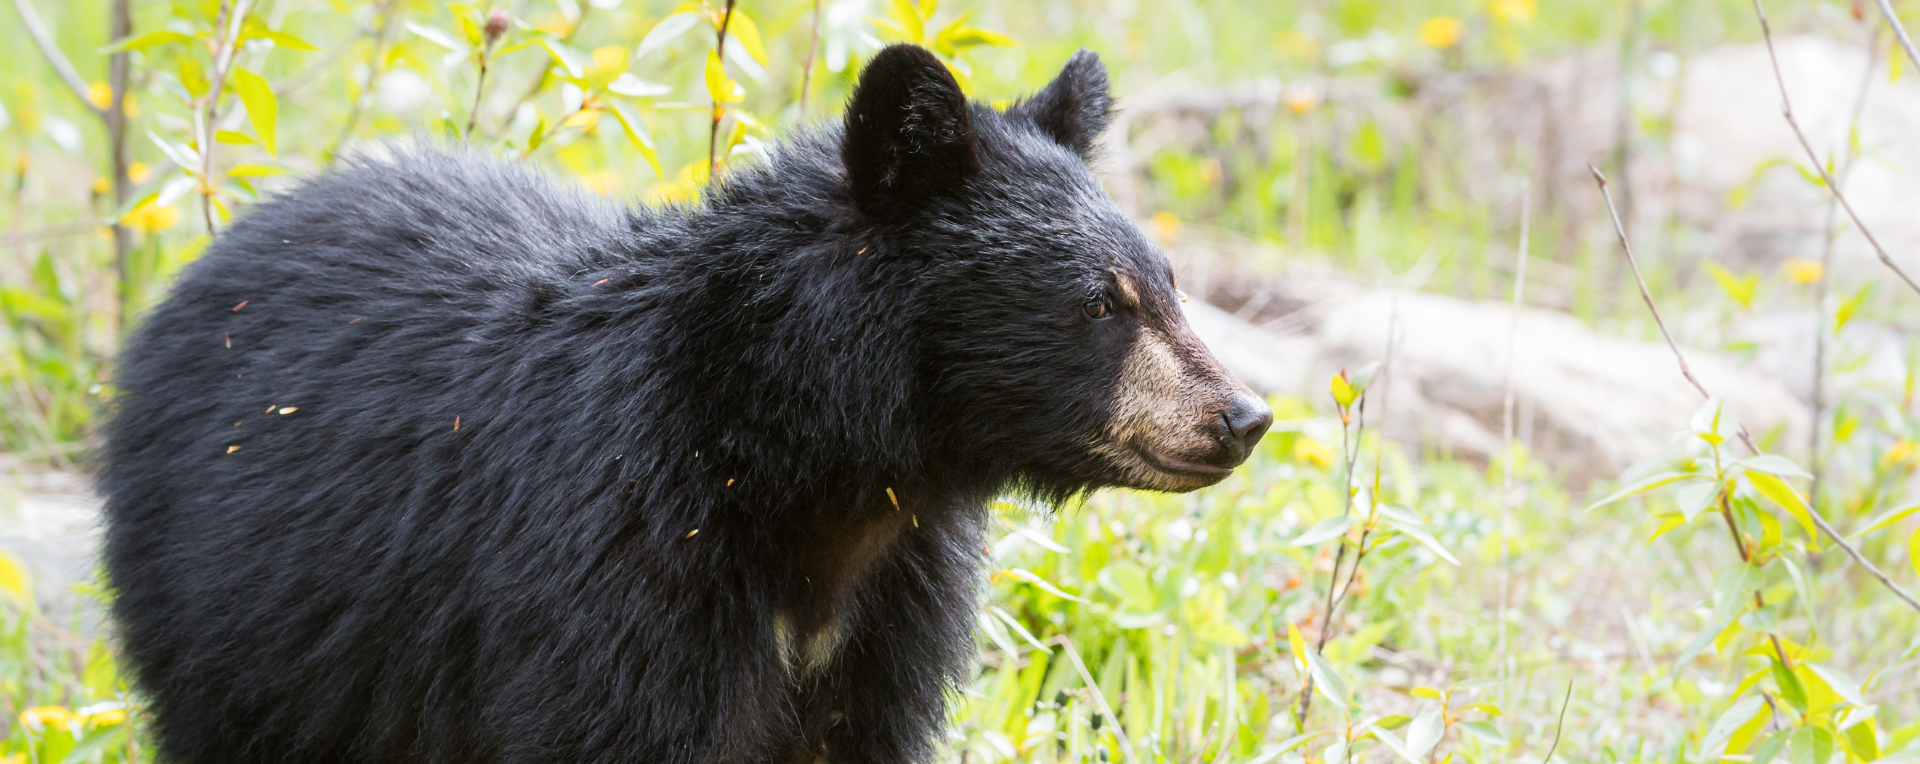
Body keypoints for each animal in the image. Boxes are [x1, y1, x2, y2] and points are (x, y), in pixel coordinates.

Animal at [105, 44, 1274, 760]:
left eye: (1168, 281)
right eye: (1103, 303)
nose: (1243, 417)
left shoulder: (892, 609)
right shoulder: (620, 556)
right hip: (238, 610)